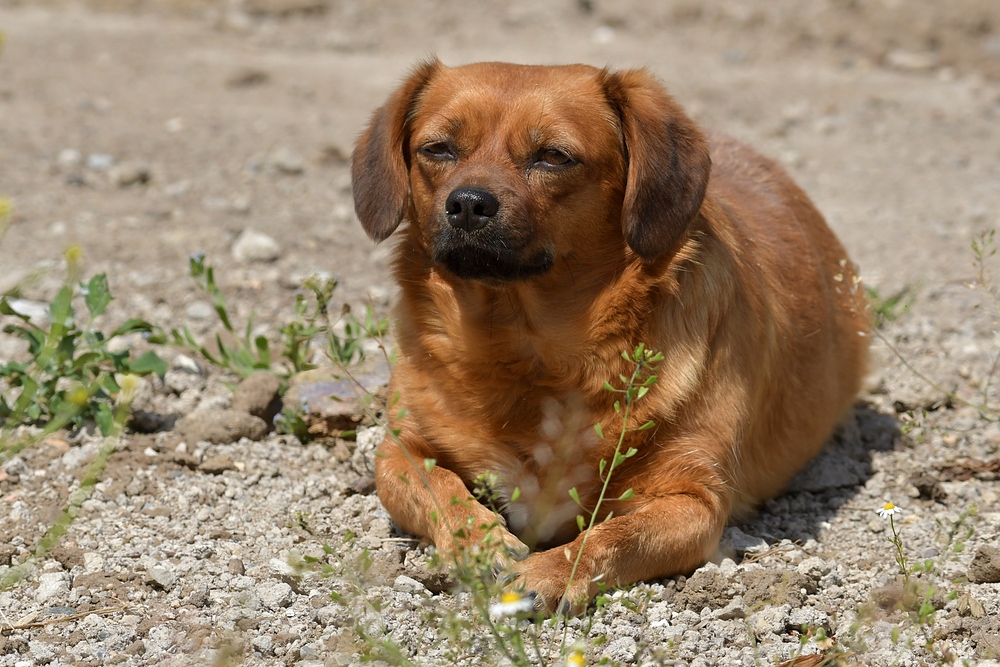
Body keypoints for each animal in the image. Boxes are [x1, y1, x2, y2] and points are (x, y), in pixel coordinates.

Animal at [350, 60, 868, 612]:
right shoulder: (399, 452)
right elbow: (439, 485)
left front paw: (553, 571)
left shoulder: (695, 502)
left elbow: (612, 536)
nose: (467, 203)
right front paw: (479, 541)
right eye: (438, 149)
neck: (526, 349)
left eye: (554, 156)